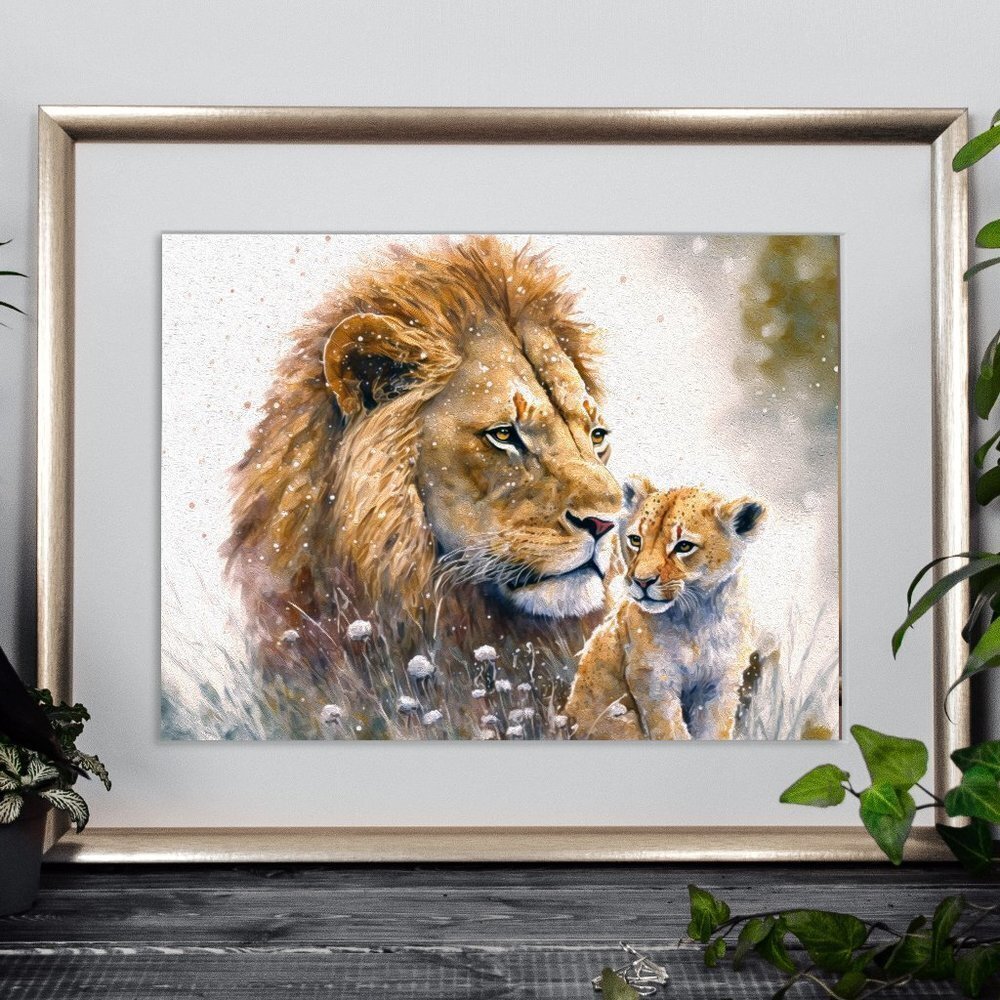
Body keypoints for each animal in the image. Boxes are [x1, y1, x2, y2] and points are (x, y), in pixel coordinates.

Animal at [565, 478, 766, 740]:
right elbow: (670, 729)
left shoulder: (722, 682)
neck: (696, 619)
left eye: (684, 546)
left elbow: (715, 729)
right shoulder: (651, 677)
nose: (641, 581)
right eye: (636, 540)